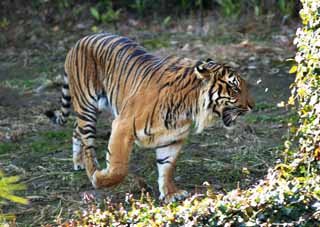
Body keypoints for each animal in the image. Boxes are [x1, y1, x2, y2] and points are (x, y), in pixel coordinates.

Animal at [45, 31, 255, 202]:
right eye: (235, 87)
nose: (252, 105)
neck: (188, 107)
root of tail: (80, 40)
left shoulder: (173, 138)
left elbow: (167, 167)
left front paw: (171, 193)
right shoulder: (123, 125)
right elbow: (119, 168)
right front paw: (101, 178)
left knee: (76, 129)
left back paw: (78, 163)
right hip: (87, 104)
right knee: (87, 141)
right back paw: (91, 170)